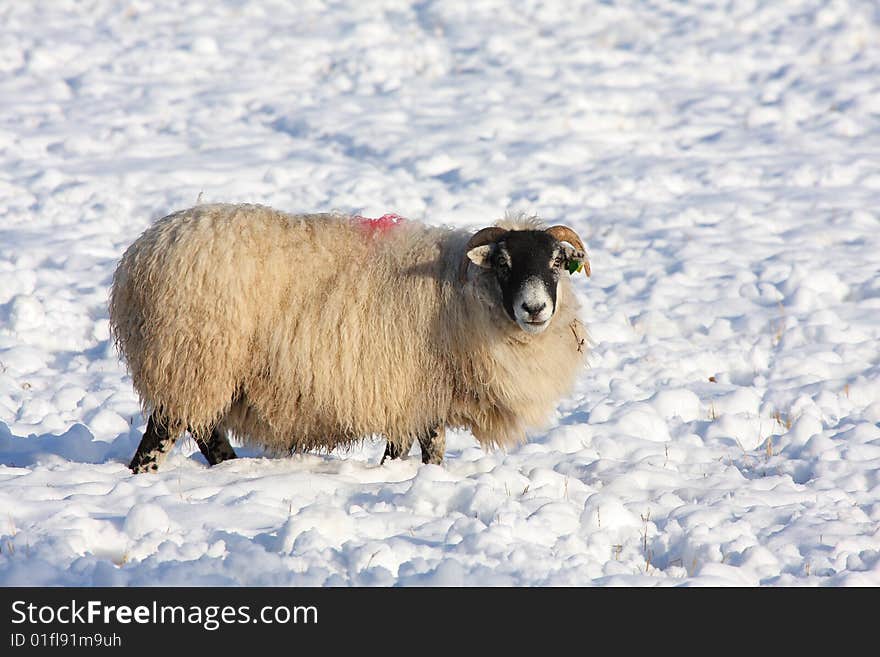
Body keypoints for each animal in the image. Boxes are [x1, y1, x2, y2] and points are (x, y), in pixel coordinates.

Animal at [110, 201, 592, 472]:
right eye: (504, 264)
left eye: (555, 263)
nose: (535, 309)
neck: (463, 290)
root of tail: (143, 252)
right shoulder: (413, 388)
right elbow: (413, 448)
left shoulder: (421, 393)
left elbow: (426, 448)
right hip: (191, 358)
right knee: (161, 436)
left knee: (205, 430)